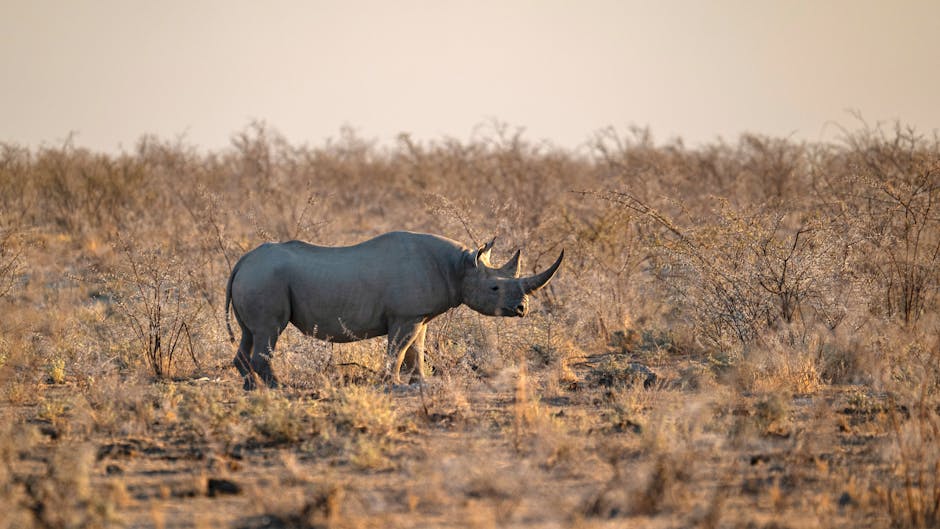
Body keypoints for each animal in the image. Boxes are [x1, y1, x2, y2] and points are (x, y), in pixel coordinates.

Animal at [226, 230, 564, 388]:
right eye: (494, 288)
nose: (522, 309)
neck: (459, 267)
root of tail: (242, 261)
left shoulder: (419, 316)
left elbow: (417, 349)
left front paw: (421, 382)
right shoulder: (405, 316)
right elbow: (399, 349)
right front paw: (394, 383)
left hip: (257, 276)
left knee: (250, 333)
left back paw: (250, 386)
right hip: (265, 278)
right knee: (269, 331)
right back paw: (277, 387)